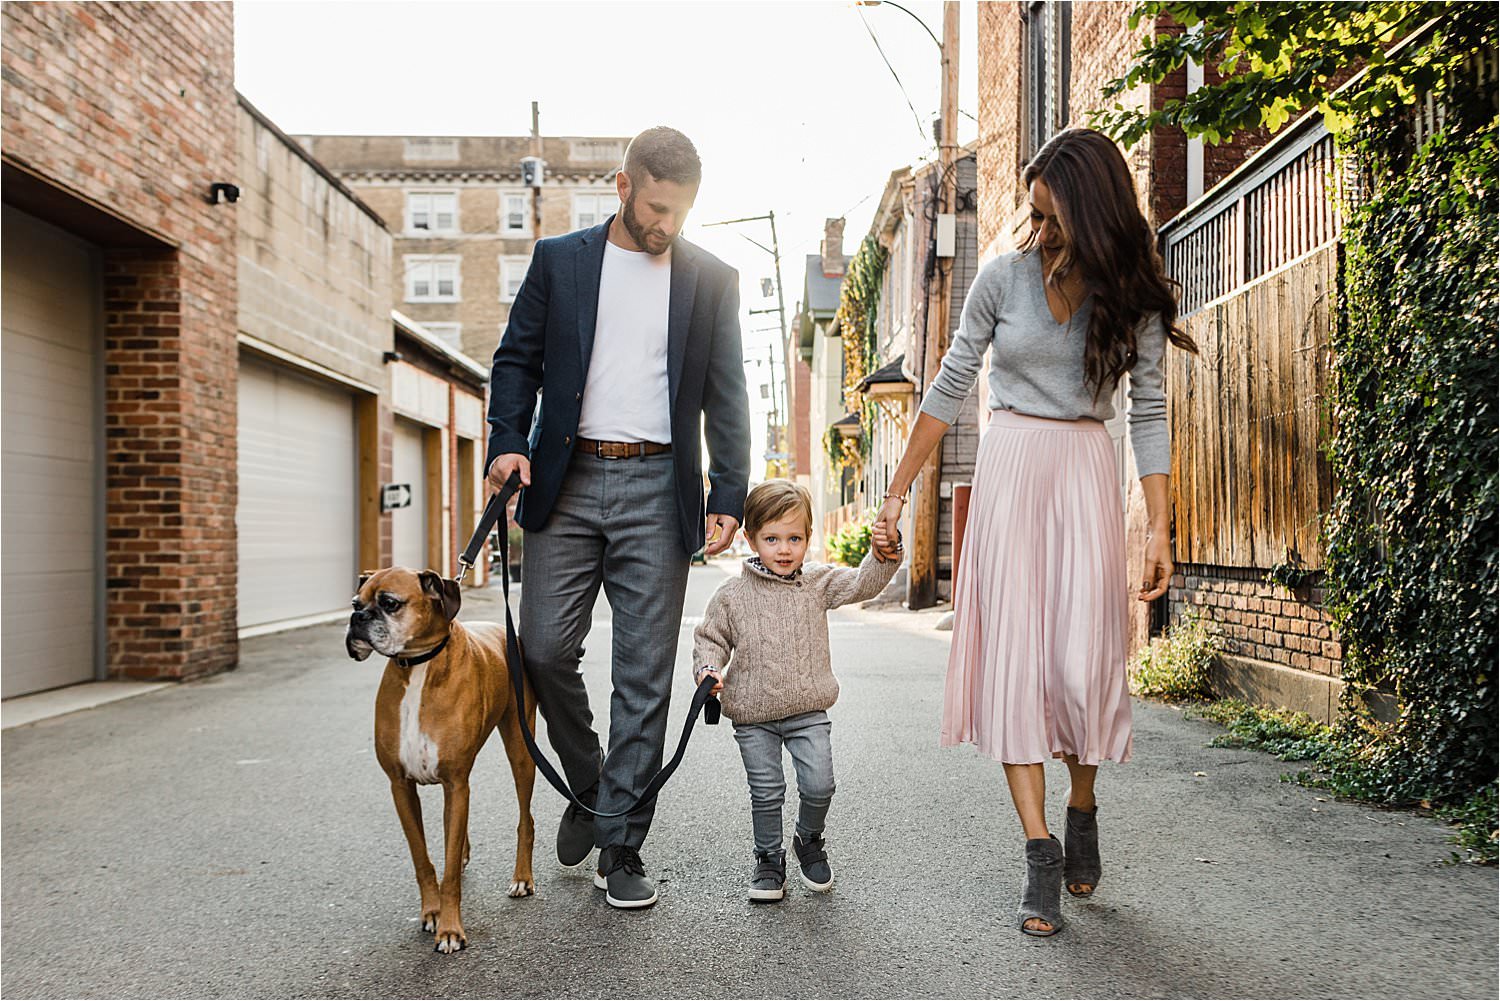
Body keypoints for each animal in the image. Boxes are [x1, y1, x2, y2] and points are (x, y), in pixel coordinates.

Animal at [348, 567, 537, 954]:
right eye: (356, 603)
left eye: (389, 603)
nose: (356, 620)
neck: (417, 666)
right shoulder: (402, 787)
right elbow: (423, 859)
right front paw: (432, 912)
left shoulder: (455, 783)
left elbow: (449, 874)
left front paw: (450, 929)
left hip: (521, 752)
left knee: (525, 820)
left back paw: (522, 878)